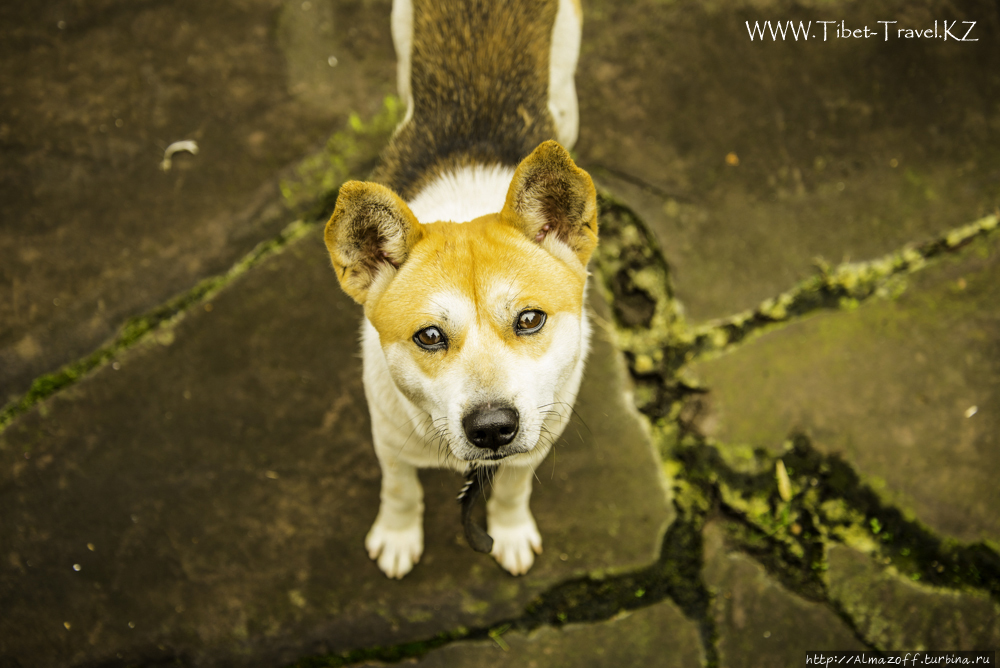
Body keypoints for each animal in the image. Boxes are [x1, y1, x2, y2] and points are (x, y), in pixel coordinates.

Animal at [324, 0, 596, 576]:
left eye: (530, 319)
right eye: (428, 336)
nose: (492, 428)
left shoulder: (535, 444)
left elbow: (513, 489)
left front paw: (511, 531)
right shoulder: (388, 438)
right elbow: (400, 489)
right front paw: (397, 535)